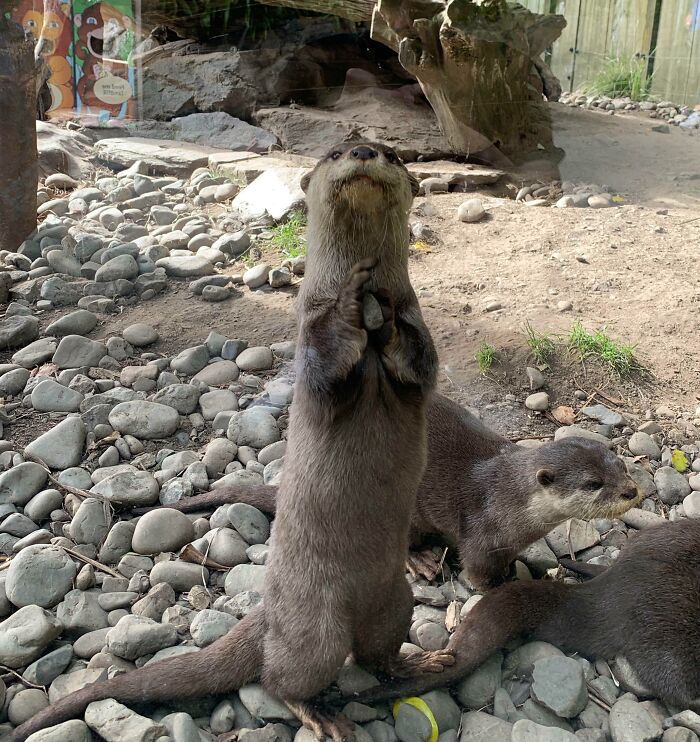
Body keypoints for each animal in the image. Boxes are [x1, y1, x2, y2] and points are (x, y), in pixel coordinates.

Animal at [8, 141, 451, 742]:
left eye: (390, 153)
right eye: (336, 151)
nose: (361, 151)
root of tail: (269, 612)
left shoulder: (417, 336)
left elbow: (415, 356)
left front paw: (380, 308)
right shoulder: (310, 341)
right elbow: (329, 357)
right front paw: (354, 300)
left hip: (393, 605)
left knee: (377, 653)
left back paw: (420, 661)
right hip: (315, 629)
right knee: (281, 678)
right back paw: (319, 713)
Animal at [135, 393, 641, 590]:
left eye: (619, 464)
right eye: (594, 484)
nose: (632, 491)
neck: (511, 500)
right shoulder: (482, 533)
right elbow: (478, 572)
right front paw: (504, 585)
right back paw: (419, 561)